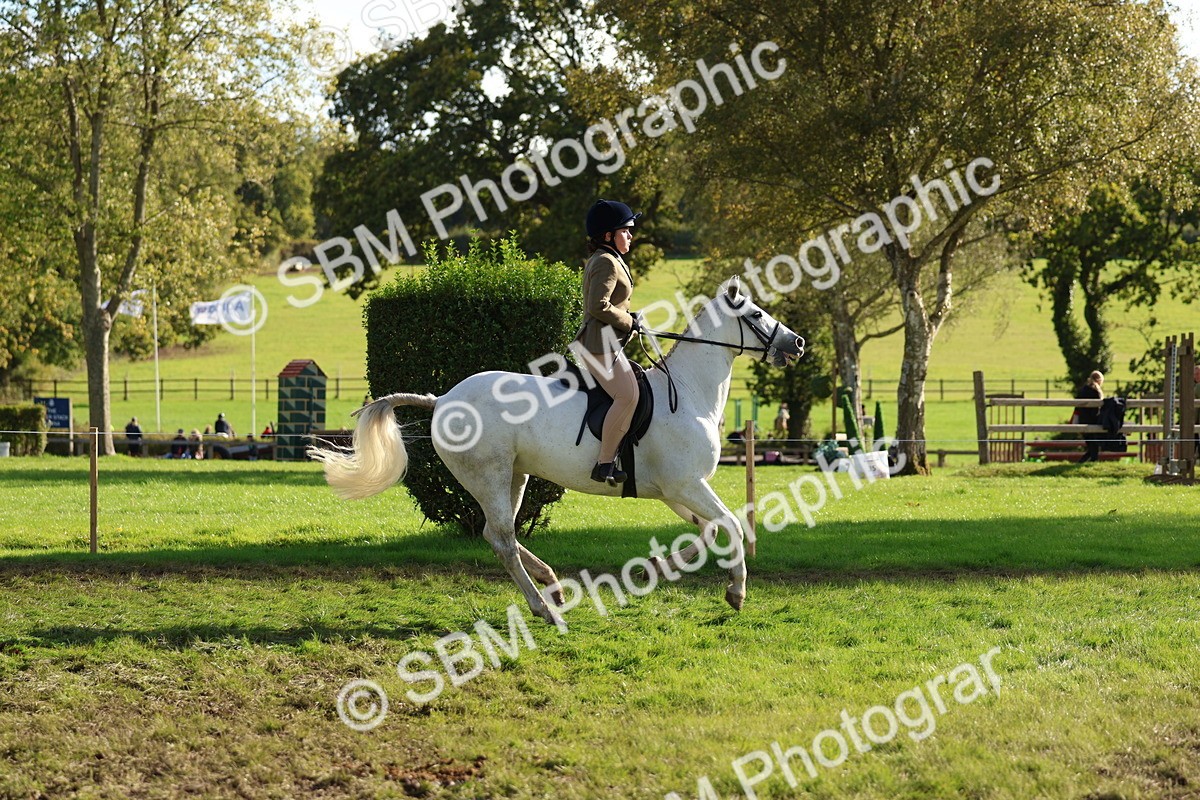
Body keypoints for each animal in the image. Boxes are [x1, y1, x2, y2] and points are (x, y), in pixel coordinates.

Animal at [309, 279, 804, 629]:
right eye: (757, 314)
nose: (796, 343)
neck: (687, 392)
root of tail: (443, 399)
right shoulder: (687, 485)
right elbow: (733, 525)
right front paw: (736, 592)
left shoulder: (676, 491)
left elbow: (710, 531)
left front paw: (661, 566)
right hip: (489, 476)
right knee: (503, 539)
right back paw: (544, 608)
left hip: (513, 476)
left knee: (497, 534)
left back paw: (552, 585)